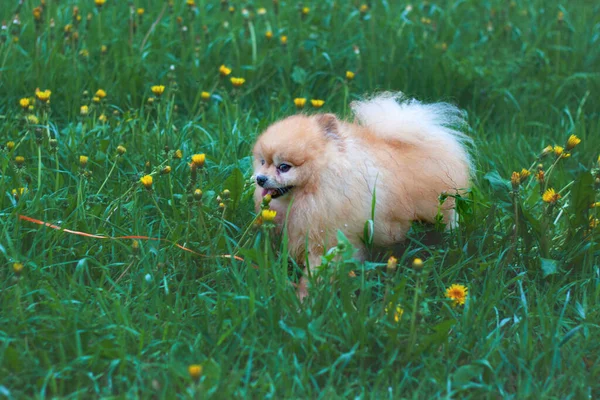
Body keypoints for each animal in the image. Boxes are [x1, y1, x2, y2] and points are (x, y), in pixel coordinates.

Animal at [253, 93, 474, 300]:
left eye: (284, 167)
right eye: (263, 162)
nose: (260, 178)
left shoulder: (328, 239)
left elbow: (317, 270)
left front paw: (305, 297)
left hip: (440, 207)